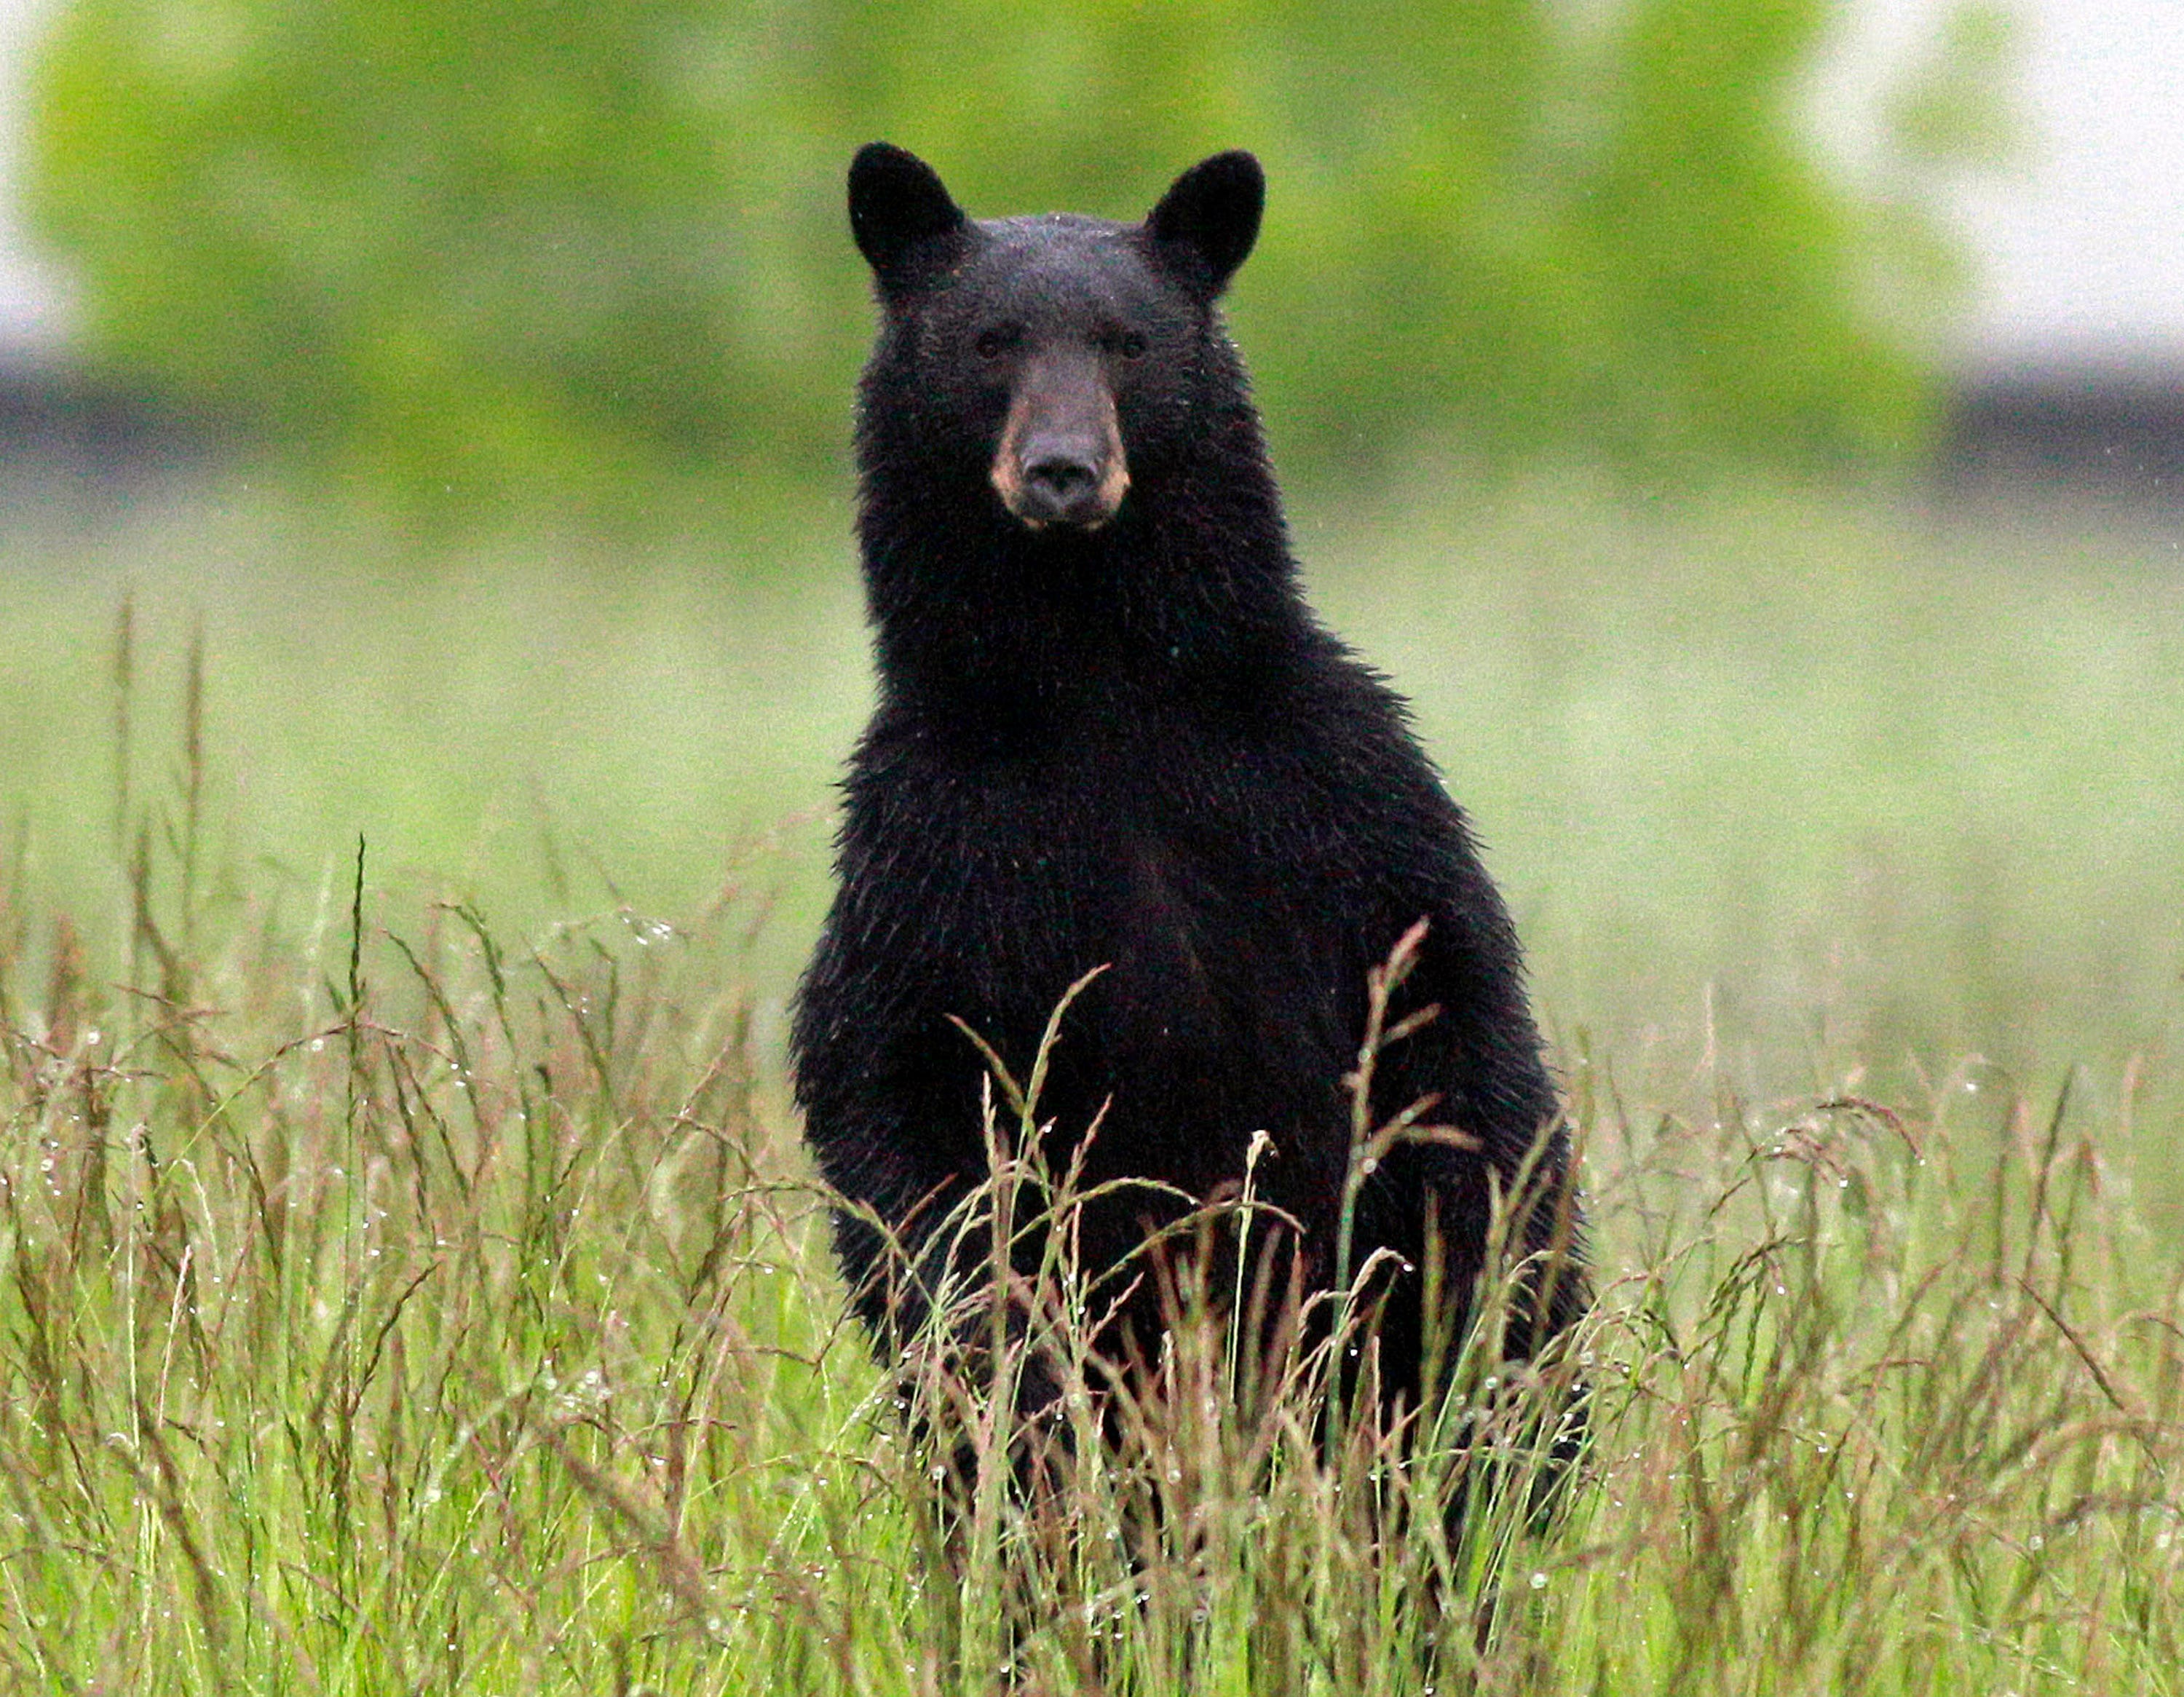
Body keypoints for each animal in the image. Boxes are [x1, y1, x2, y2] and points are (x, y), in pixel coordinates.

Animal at [791, 142, 1586, 1468]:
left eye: (1129, 342)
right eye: (993, 340)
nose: (1063, 471)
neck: (1103, 687)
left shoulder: (1344, 796)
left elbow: (1459, 1033)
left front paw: (1480, 1315)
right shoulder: (934, 844)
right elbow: (895, 1095)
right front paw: (1002, 1356)